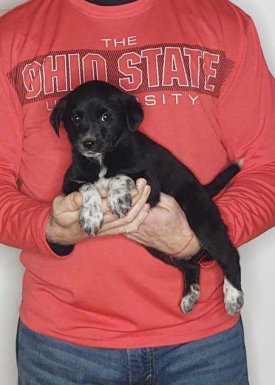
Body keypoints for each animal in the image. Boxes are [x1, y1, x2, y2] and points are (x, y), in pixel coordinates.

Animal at [50, 81, 245, 316]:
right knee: (191, 264)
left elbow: (119, 176)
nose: (88, 143)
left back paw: (233, 296)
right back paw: (189, 296)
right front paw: (91, 215)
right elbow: (87, 186)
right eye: (75, 118)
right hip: (157, 248)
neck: (101, 160)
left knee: (230, 255)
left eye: (105, 117)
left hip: (203, 222)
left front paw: (117, 197)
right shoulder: (69, 184)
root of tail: (203, 189)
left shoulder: (150, 185)